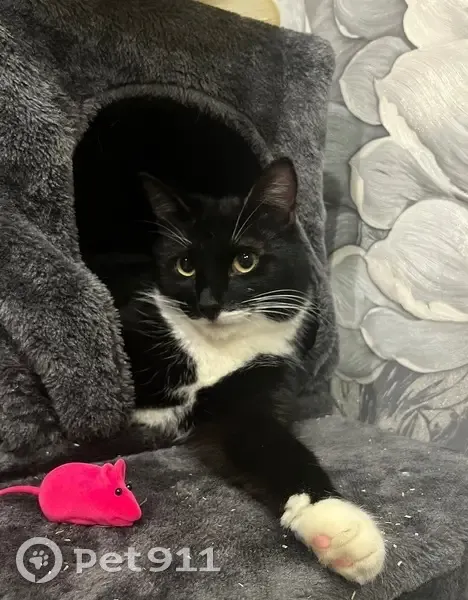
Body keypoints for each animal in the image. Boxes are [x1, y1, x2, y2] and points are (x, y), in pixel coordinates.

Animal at [120, 158, 385, 585]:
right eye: (185, 265)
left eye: (245, 261)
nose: (208, 304)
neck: (216, 351)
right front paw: (344, 525)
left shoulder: (255, 387)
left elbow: (267, 444)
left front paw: (335, 526)